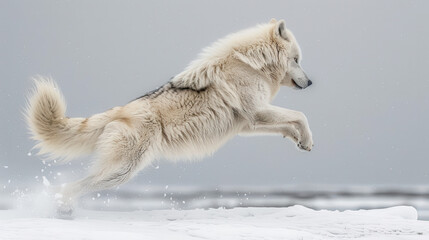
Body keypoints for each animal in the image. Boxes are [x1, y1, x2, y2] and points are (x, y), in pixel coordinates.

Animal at [25, 18, 312, 214]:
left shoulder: (248, 123)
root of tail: (120, 110)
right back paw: (63, 211)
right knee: (72, 186)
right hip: (122, 171)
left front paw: (299, 141)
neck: (252, 64)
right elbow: (301, 115)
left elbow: (288, 124)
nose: (310, 82)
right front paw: (307, 140)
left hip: (120, 171)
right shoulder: (257, 111)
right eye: (297, 59)